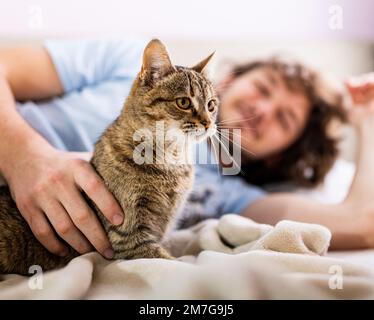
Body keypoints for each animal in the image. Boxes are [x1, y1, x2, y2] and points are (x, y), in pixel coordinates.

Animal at [0, 39, 219, 276]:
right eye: (184, 102)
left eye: (211, 105)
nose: (208, 123)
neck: (172, 158)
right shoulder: (130, 238)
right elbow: (174, 264)